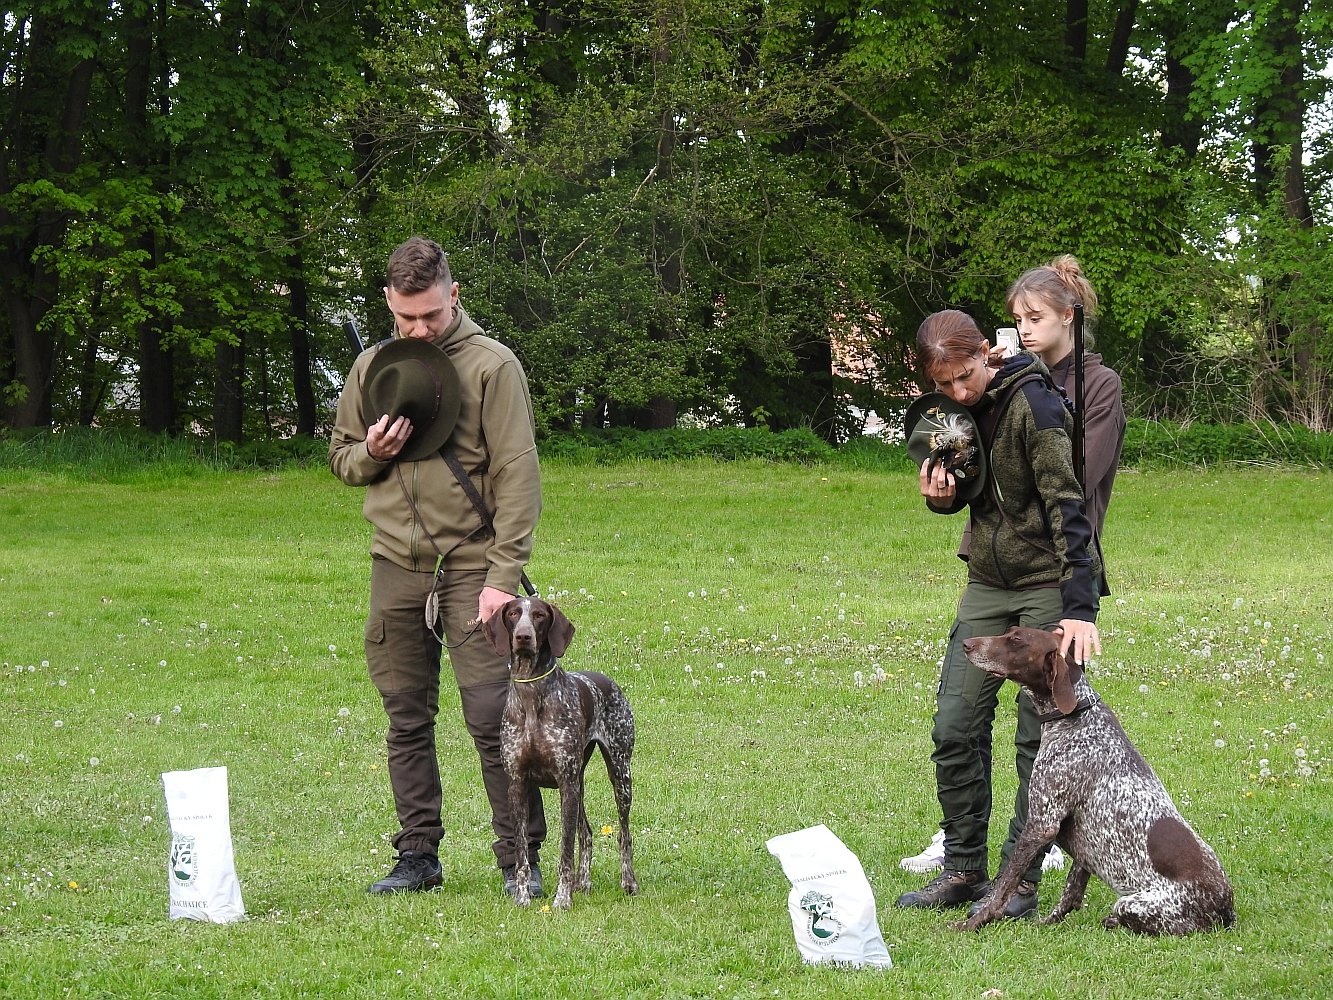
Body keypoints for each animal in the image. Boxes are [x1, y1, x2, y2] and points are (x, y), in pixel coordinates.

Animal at [484, 597, 638, 909]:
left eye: (539, 615)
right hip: (579, 783)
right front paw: (522, 897)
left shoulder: (566, 783)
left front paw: (562, 899)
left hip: (619, 773)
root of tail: (607, 681)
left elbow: (565, 849)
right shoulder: (517, 784)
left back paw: (628, 882)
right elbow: (521, 852)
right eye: (514, 613)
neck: (532, 694)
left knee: (623, 833)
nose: (523, 636)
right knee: (587, 833)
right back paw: (584, 882)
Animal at [959, 626, 1235, 935]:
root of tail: (1227, 912)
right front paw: (1048, 922)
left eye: (1016, 640)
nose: (966, 644)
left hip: (1133, 904)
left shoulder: (1041, 824)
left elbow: (1003, 887)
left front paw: (974, 922)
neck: (1077, 718)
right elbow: (1070, 893)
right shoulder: (1084, 847)